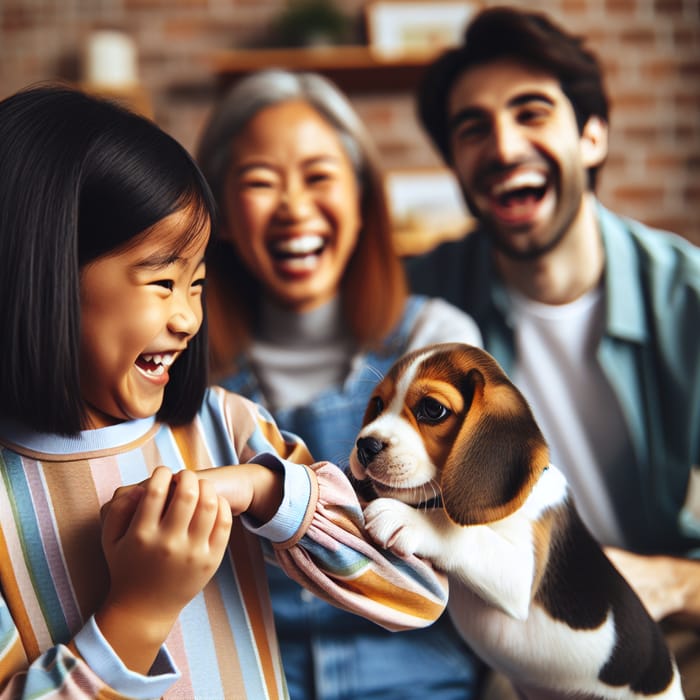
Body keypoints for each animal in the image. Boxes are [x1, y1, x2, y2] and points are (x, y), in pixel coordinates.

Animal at [350, 344, 684, 700]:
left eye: (432, 409)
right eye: (378, 404)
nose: (365, 445)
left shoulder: (520, 575)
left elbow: (461, 534)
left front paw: (407, 519)